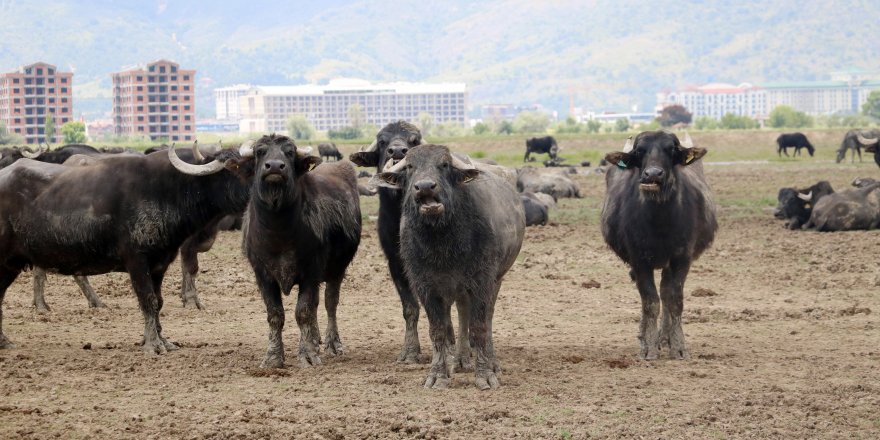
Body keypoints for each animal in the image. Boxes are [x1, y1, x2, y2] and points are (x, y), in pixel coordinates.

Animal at [237, 134, 360, 368]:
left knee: (329, 302)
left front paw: (308, 355)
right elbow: (275, 315)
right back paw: (315, 339)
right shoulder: (262, 275)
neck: (278, 232)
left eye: (289, 152)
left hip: (338, 268)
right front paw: (273, 357)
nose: (275, 166)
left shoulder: (311, 272)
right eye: (260, 152)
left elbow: (303, 311)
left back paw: (332, 343)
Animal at [348, 119, 424, 360]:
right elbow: (410, 307)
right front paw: (410, 351)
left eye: (414, 141)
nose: (398, 151)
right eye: (382, 141)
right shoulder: (395, 262)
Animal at [376, 144, 524, 388]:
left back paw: (489, 361)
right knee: (462, 314)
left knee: (487, 318)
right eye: (410, 166)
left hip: (496, 279)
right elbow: (439, 331)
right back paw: (460, 359)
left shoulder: (482, 281)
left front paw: (485, 374)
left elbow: (479, 327)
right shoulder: (426, 287)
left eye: (444, 164)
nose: (425, 186)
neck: (443, 243)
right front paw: (438, 375)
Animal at [600, 131, 720, 360]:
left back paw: (665, 338)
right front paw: (649, 346)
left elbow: (675, 301)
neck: (660, 221)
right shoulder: (639, 260)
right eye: (639, 151)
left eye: (671, 149)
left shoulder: (681, 258)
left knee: (665, 293)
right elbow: (650, 302)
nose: (653, 174)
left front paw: (679, 347)